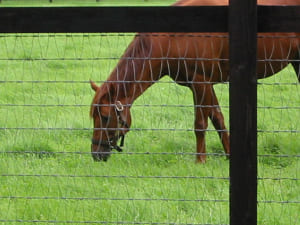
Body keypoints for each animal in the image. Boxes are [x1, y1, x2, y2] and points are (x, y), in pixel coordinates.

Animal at [89, 0, 300, 163]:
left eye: (105, 117)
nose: (96, 154)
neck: (174, 38)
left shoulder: (200, 83)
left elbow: (200, 124)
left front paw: (200, 160)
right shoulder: (206, 86)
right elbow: (218, 119)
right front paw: (228, 155)